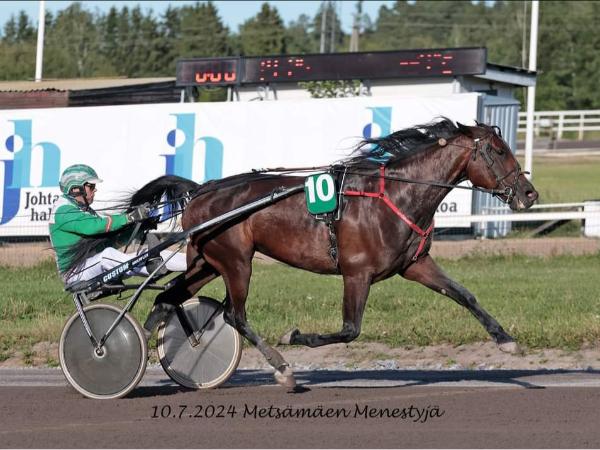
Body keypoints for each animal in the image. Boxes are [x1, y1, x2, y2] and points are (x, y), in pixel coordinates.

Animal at [70, 118, 539, 389]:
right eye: (498, 151)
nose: (529, 194)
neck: (395, 196)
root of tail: (201, 190)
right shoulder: (356, 274)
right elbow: (349, 330)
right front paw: (295, 337)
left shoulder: (415, 265)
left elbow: (464, 294)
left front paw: (507, 341)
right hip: (237, 261)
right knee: (234, 315)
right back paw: (282, 369)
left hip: (205, 262)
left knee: (169, 297)